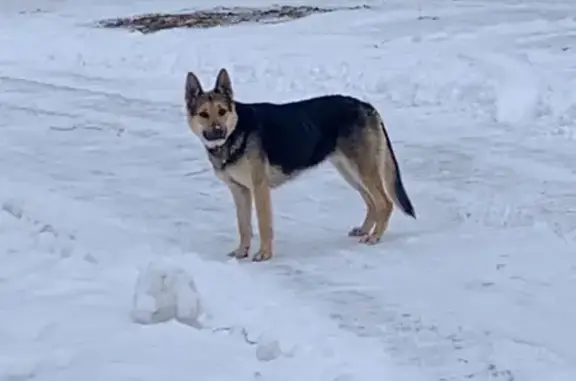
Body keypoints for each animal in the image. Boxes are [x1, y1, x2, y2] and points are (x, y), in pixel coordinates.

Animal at [184, 67, 414, 262]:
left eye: (222, 111)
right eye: (203, 114)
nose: (217, 131)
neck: (236, 132)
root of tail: (367, 106)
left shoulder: (259, 188)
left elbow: (263, 224)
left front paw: (264, 254)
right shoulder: (239, 191)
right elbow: (244, 225)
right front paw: (242, 251)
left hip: (362, 170)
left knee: (384, 202)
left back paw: (375, 237)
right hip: (349, 171)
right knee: (371, 202)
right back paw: (365, 230)